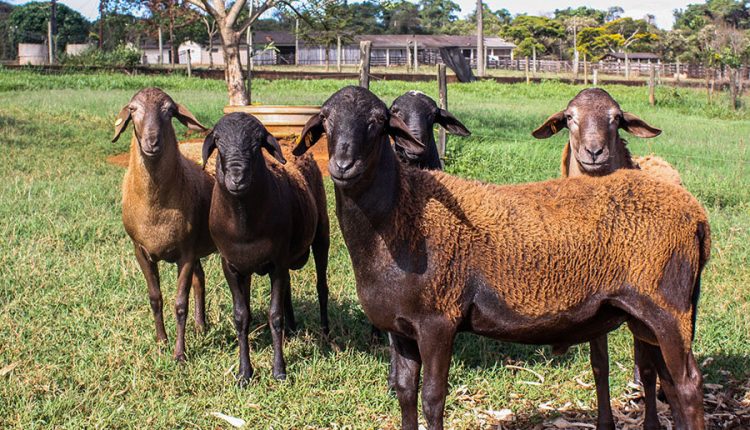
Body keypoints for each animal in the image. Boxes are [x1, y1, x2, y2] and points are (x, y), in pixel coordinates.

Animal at [111, 88, 217, 362]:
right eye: (133, 109)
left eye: (169, 111)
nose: (152, 142)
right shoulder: (140, 250)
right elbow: (155, 298)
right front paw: (161, 341)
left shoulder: (186, 253)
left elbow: (180, 304)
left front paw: (179, 354)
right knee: (200, 279)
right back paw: (201, 326)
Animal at [203, 111, 328, 382]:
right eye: (218, 141)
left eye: (257, 143)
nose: (237, 178)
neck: (244, 224)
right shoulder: (232, 267)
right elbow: (242, 317)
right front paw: (244, 373)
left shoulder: (277, 264)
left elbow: (274, 315)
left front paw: (279, 370)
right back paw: (292, 330)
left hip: (322, 232)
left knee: (321, 286)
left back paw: (325, 332)